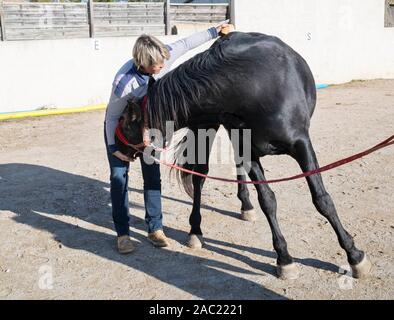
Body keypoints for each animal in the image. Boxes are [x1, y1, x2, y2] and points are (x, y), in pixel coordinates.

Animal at [118, 31, 370, 278]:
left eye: (126, 123)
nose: (117, 150)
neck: (253, 87)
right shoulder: (248, 151)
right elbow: (268, 200)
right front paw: (284, 258)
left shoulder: (302, 145)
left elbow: (322, 199)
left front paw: (354, 254)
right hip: (209, 127)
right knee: (200, 176)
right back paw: (197, 230)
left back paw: (244, 206)